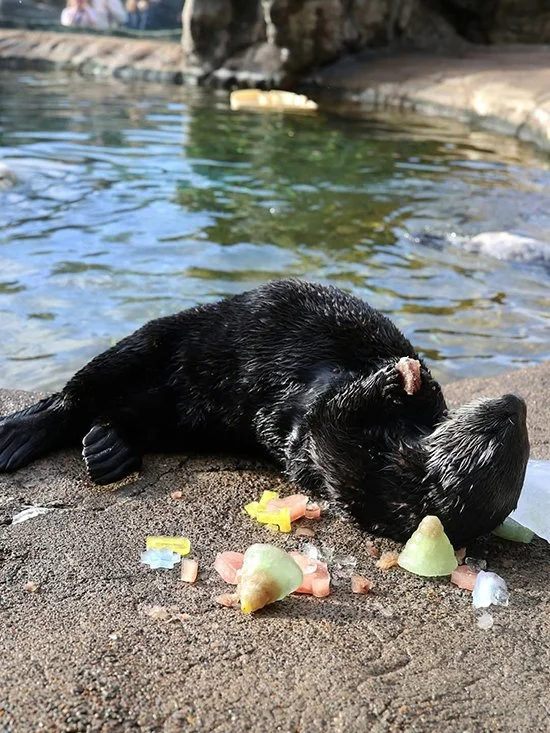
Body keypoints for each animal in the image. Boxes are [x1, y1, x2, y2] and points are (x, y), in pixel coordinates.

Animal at [0, 279, 529, 547]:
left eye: (506, 424)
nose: (517, 402)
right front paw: (415, 379)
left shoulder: (343, 460)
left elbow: (328, 417)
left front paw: (384, 382)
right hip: (148, 344)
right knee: (79, 396)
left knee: (84, 410)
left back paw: (88, 446)